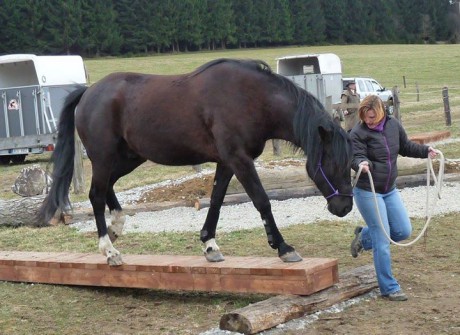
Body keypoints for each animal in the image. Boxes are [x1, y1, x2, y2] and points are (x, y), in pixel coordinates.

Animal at [36, 59, 352, 266]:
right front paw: (283, 247)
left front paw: (209, 245)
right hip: (104, 158)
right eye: (332, 165)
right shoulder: (240, 159)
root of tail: (88, 92)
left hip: (129, 158)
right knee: (96, 194)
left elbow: (216, 200)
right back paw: (109, 250)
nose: (345, 208)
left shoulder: (227, 162)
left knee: (107, 189)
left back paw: (117, 226)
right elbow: (262, 200)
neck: (251, 98)